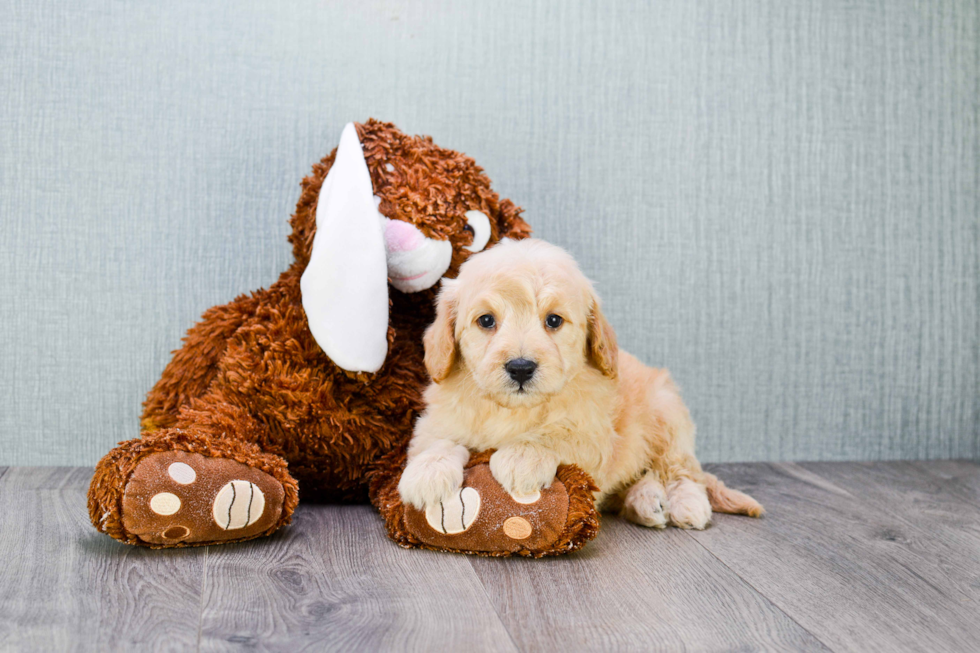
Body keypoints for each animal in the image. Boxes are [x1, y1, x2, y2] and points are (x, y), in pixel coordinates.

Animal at [398, 237, 764, 528]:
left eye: (554, 320)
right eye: (486, 320)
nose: (520, 367)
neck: (513, 411)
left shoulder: (595, 436)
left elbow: (556, 435)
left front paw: (521, 457)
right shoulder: (437, 418)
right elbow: (437, 440)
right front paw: (426, 473)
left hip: (668, 415)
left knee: (681, 470)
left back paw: (685, 504)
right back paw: (645, 502)